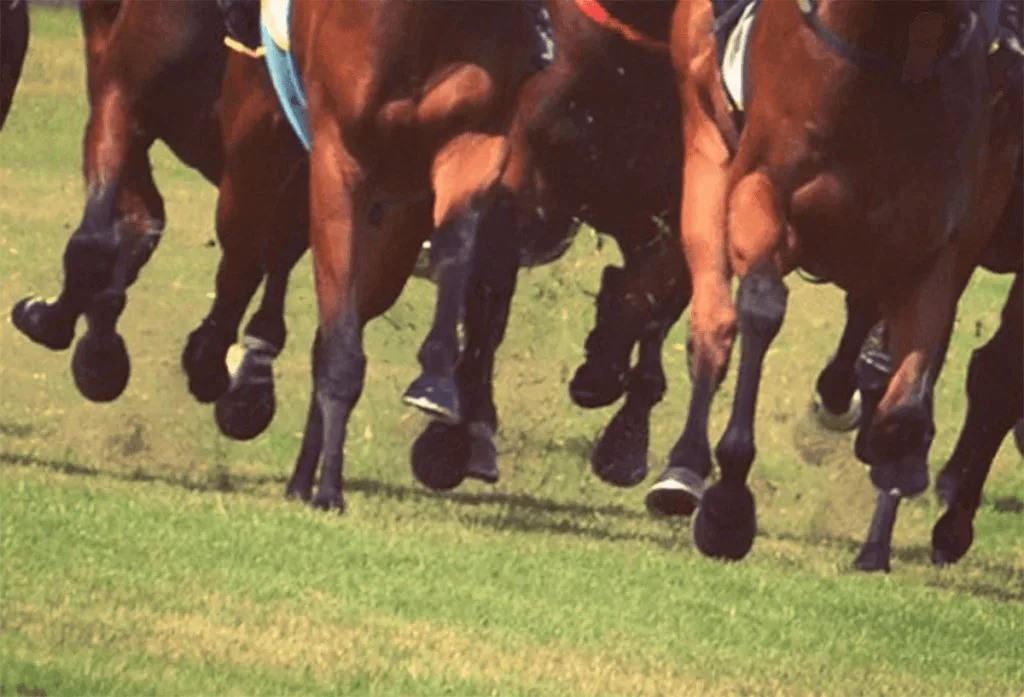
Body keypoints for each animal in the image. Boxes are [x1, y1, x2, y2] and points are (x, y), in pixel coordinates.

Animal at [650, 0, 1020, 567]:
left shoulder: (939, 240)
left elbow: (908, 397)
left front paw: (898, 461)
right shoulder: (761, 192)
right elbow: (761, 309)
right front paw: (727, 509)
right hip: (705, 148)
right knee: (715, 323)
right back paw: (685, 466)